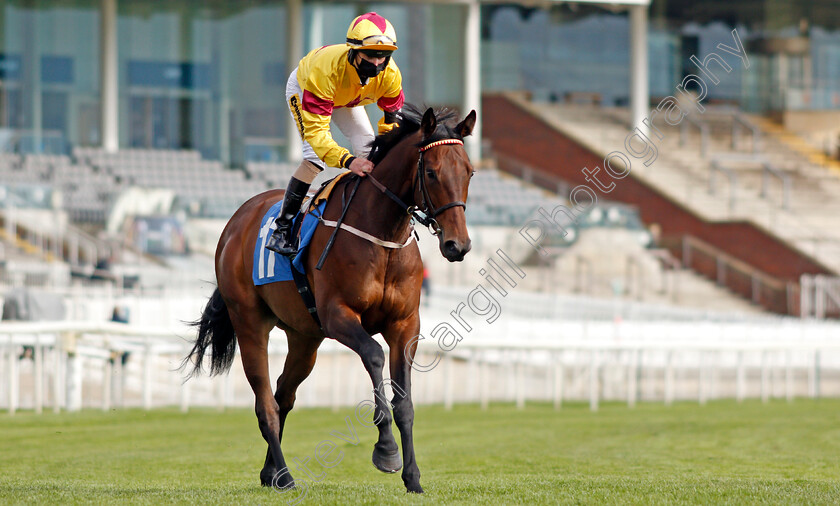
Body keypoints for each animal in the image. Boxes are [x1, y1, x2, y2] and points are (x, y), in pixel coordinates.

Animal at [185, 106, 472, 494]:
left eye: (469, 171)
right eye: (431, 172)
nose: (458, 245)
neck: (381, 234)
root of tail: (236, 221)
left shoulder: (405, 325)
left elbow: (405, 402)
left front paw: (412, 477)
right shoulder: (338, 315)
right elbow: (374, 355)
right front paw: (386, 451)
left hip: (305, 337)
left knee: (283, 395)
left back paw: (271, 473)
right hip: (249, 322)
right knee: (265, 404)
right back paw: (285, 474)